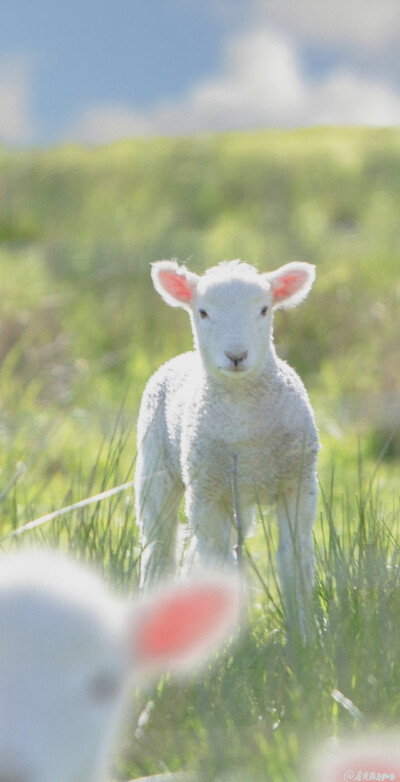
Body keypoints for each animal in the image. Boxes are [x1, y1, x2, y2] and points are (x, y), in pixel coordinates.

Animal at [134, 258, 318, 636]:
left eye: (264, 310)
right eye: (203, 312)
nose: (236, 355)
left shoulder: (298, 483)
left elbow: (295, 561)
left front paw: (304, 636)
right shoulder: (206, 494)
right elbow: (217, 565)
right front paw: (231, 644)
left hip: (237, 496)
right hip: (156, 468)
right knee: (160, 547)